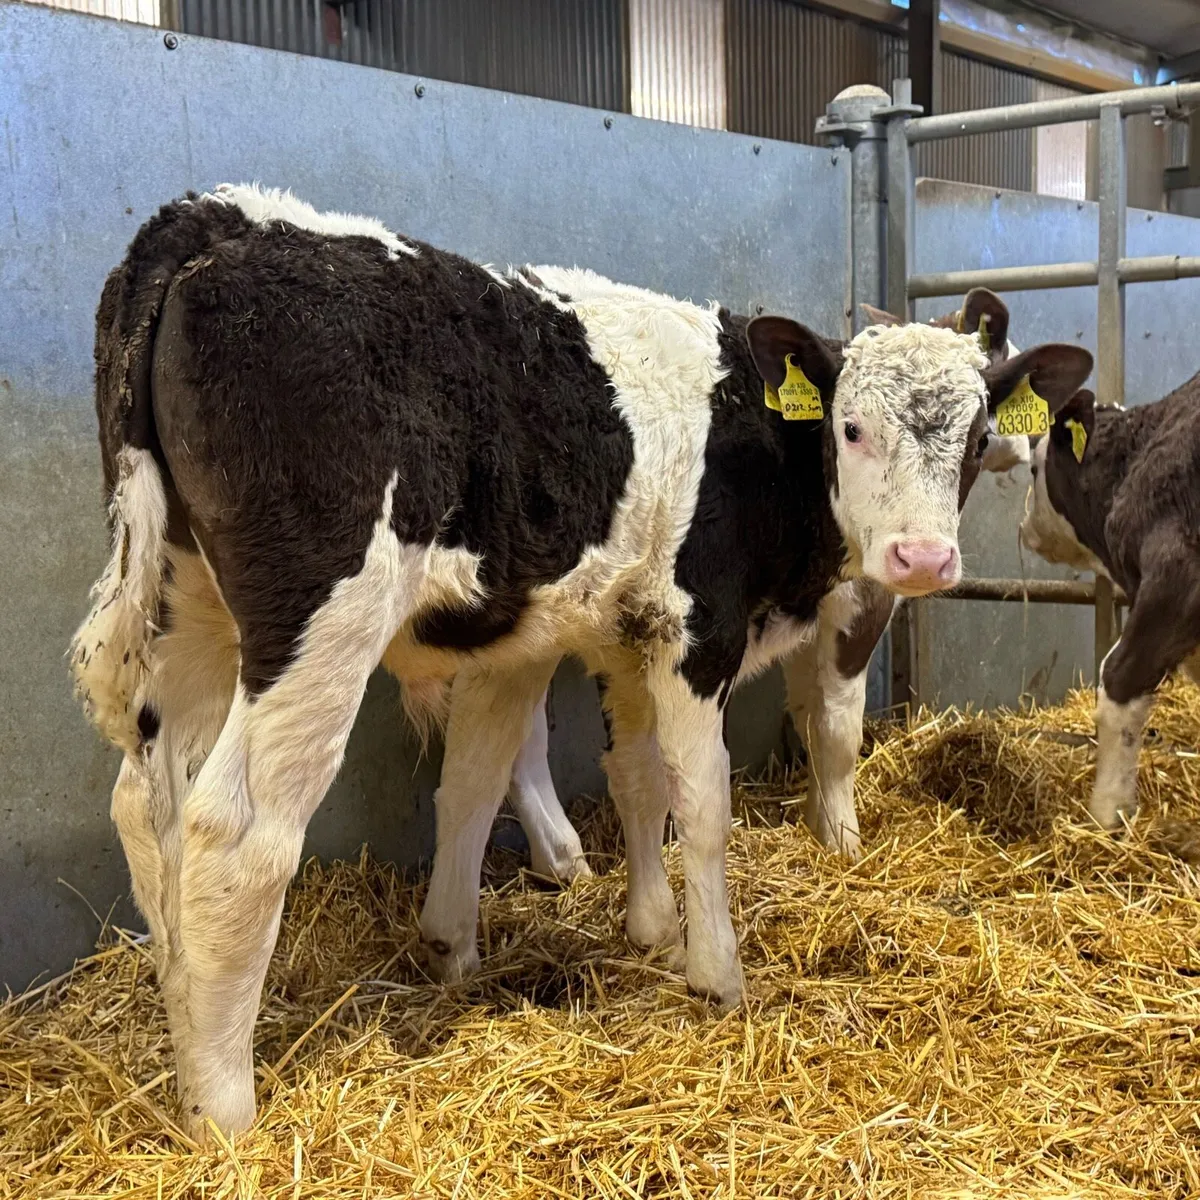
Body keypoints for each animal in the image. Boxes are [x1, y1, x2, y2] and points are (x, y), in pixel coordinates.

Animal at [71, 184, 1092, 1135]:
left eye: (974, 436)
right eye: (849, 429)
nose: (922, 559)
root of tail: (224, 214)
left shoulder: (616, 633)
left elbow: (590, 781)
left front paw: (620, 931)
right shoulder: (699, 628)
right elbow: (706, 801)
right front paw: (717, 970)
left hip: (186, 606)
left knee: (146, 808)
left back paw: (180, 1020)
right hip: (318, 618)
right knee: (235, 834)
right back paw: (224, 1109)